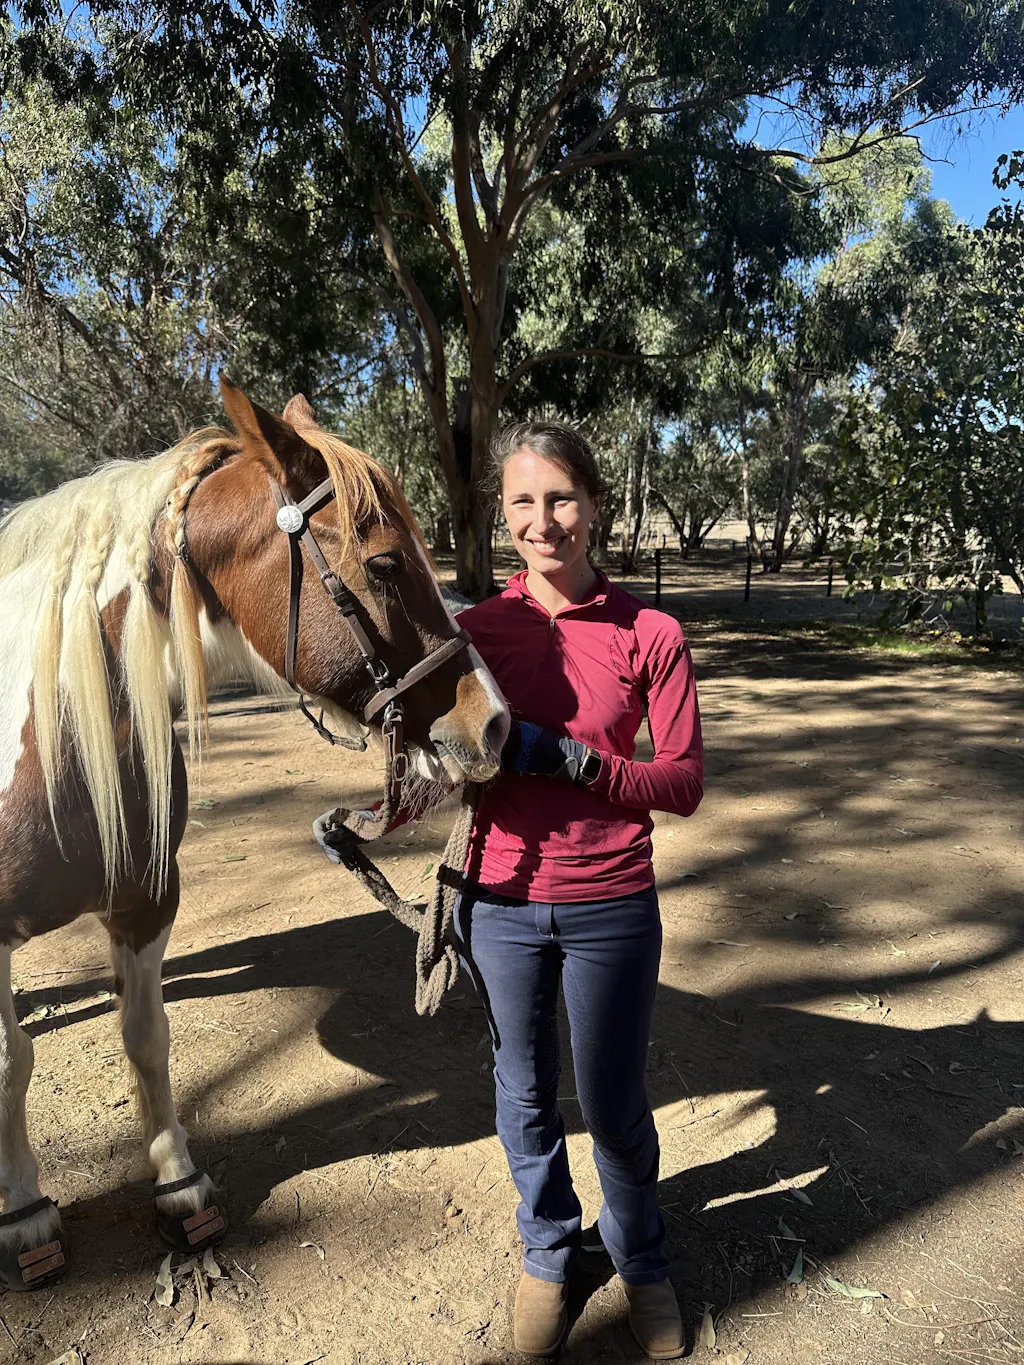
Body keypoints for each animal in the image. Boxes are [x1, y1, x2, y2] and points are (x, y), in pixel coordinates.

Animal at [0, 377, 508, 1290]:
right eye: (385, 563)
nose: (493, 724)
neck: (49, 742)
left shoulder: (144, 907)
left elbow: (146, 1036)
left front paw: (179, 1184)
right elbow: (9, 1063)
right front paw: (23, 1211)